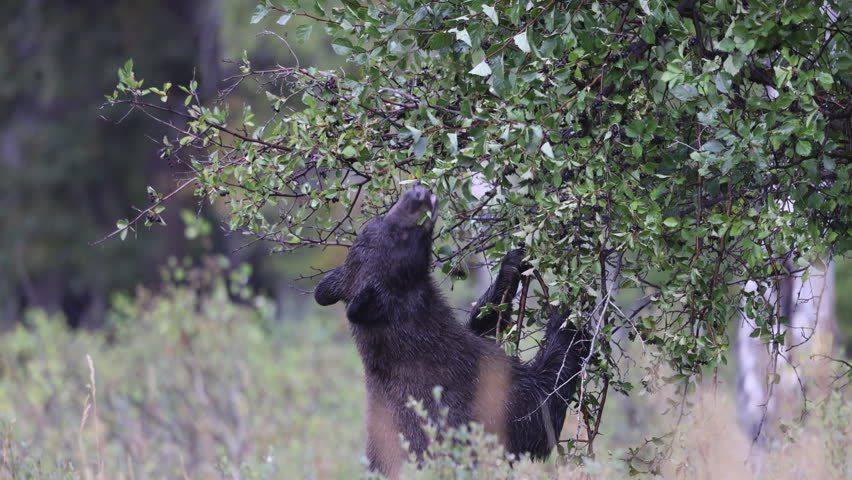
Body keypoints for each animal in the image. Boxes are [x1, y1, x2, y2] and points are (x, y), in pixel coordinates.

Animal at [315, 184, 586, 478]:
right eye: (394, 233)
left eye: (376, 221)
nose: (416, 192)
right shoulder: (476, 390)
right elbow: (540, 407)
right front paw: (569, 313)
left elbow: (483, 323)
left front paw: (511, 265)